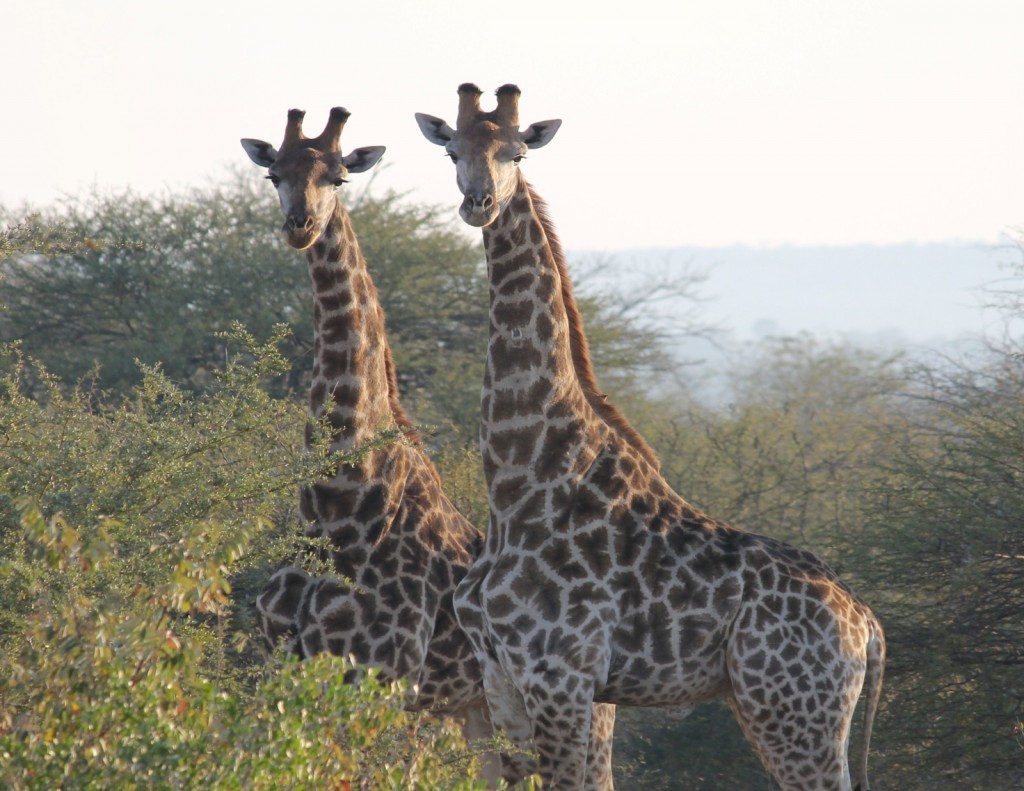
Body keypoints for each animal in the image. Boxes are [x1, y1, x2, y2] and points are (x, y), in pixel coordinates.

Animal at [237, 108, 614, 786]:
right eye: (274, 174)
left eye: (338, 177)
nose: (300, 226)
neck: (341, 500)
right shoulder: (287, 664)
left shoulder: (380, 678)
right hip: (480, 713)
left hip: (580, 711)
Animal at [413, 86, 880, 790]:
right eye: (452, 151)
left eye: (517, 152)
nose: (479, 203)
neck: (521, 482)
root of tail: (866, 625)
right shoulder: (503, 679)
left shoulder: (560, 677)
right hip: (778, 709)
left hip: (794, 709)